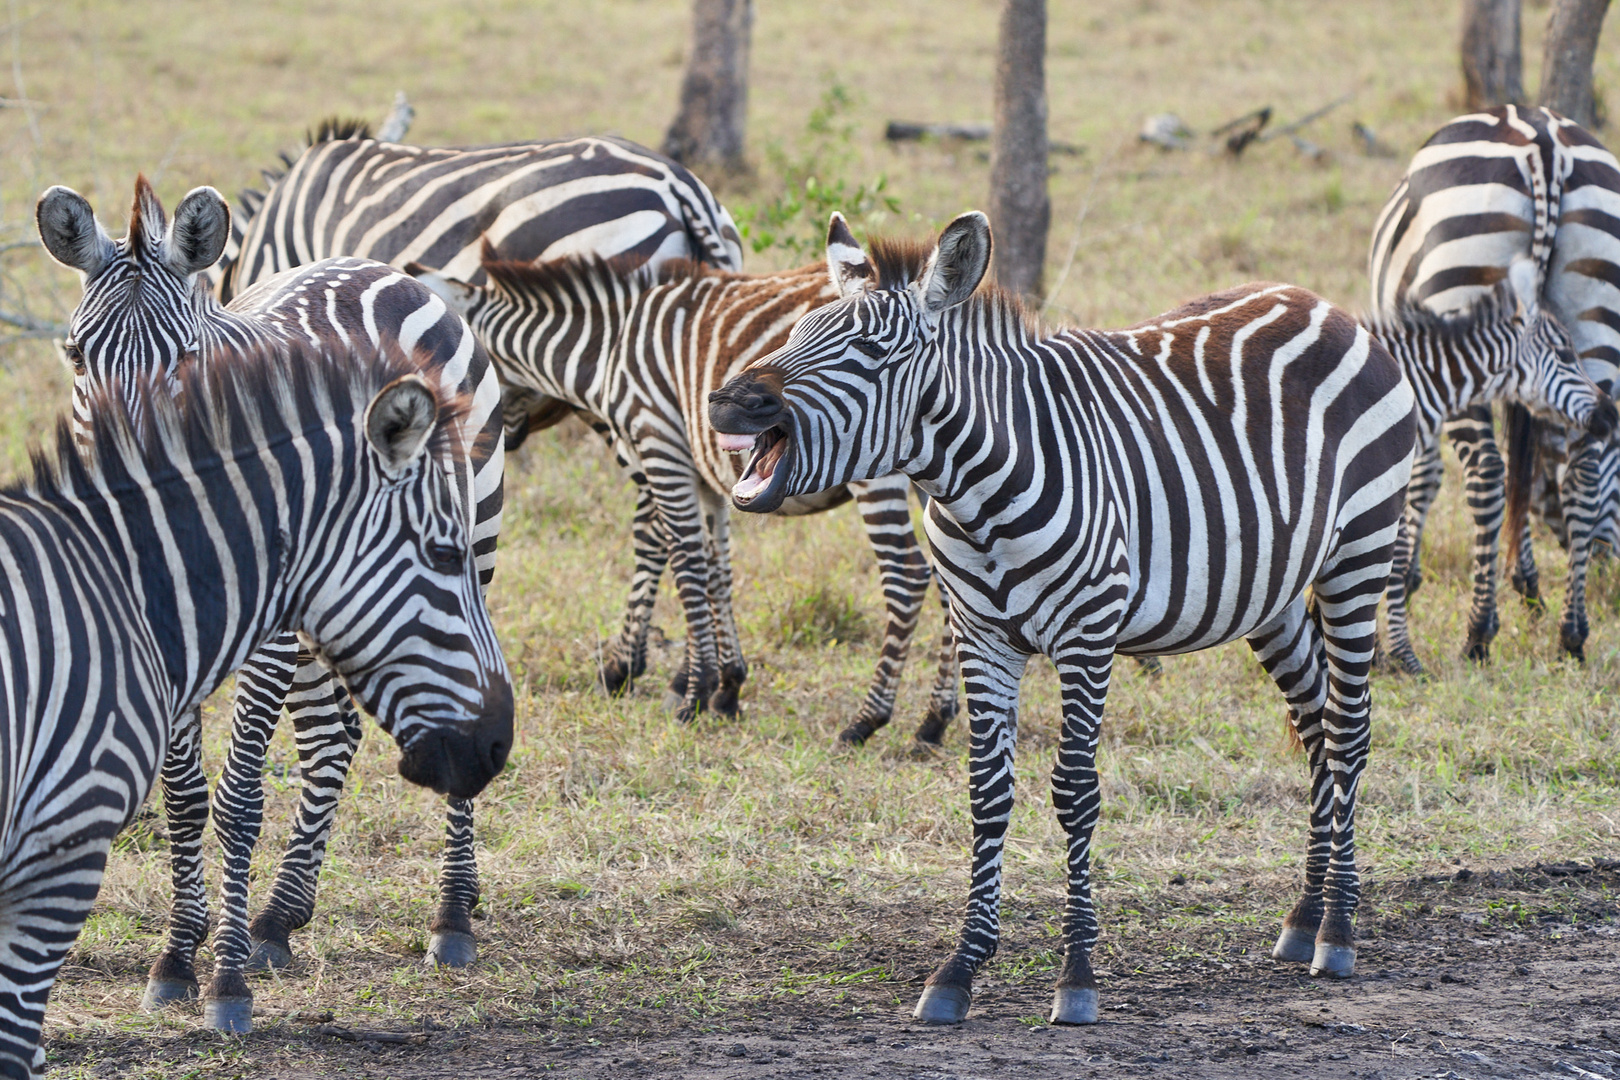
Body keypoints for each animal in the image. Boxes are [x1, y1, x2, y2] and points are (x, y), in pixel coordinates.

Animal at [39, 175, 505, 1029]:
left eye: (188, 358)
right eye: (79, 356)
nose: (129, 476)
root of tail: (370, 267)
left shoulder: (267, 634)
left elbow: (239, 797)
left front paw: (224, 982)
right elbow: (184, 796)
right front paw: (178, 954)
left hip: (467, 546)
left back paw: (452, 916)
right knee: (332, 736)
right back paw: (281, 916)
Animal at [408, 246, 959, 738]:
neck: (608, 348)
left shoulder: (661, 447)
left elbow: (686, 562)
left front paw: (692, 695)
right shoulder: (707, 475)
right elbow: (717, 570)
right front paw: (727, 686)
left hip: (876, 473)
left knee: (907, 576)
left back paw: (869, 719)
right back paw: (935, 720)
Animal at [712, 215, 1419, 1029]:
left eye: (870, 354)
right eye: (795, 335)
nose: (725, 403)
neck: (977, 492)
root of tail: (1321, 304)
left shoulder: (1088, 634)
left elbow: (1075, 794)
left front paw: (1076, 975)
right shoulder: (980, 636)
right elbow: (988, 793)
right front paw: (959, 969)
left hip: (1358, 551)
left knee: (1348, 731)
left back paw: (1337, 930)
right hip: (1267, 593)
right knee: (1313, 727)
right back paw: (1303, 919)